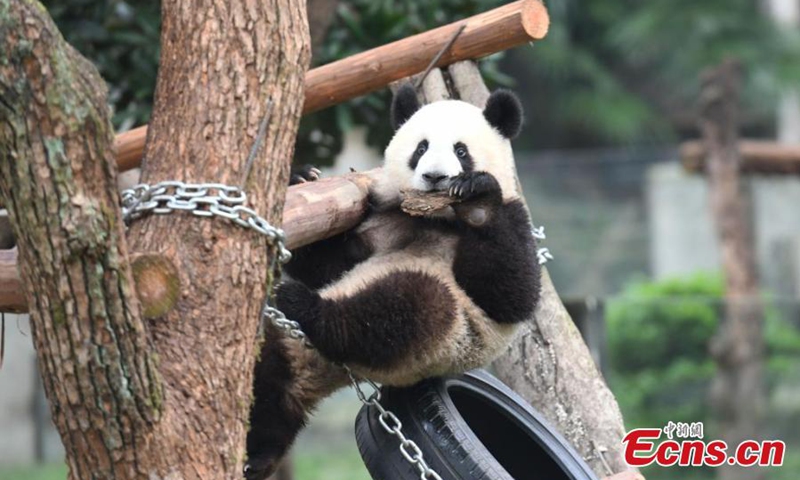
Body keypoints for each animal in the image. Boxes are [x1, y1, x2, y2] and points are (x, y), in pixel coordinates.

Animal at [245, 84, 541, 479]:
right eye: (421, 148)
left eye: (461, 151)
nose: (435, 177)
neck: (436, 220)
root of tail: (319, 371)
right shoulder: (385, 217)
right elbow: (332, 264)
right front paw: (302, 177)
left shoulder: (513, 218)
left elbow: (511, 294)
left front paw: (478, 199)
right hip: (279, 350)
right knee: (266, 389)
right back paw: (255, 455)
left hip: (439, 340)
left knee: (408, 309)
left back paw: (306, 307)